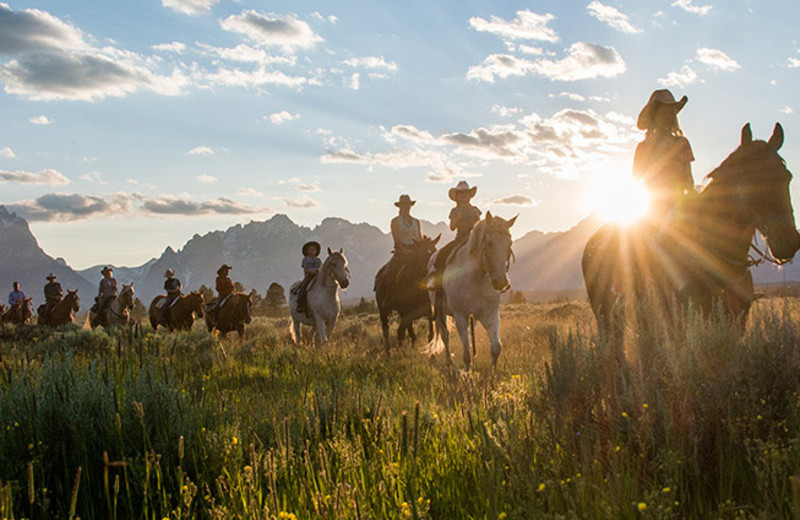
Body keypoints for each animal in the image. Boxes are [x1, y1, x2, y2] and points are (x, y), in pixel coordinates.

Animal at [428, 212, 516, 370]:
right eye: (489, 243)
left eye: (509, 244)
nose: (501, 282)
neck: (476, 278)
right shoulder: (460, 316)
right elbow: (466, 353)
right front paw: (467, 373)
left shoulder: (490, 314)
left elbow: (496, 348)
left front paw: (492, 374)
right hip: (439, 311)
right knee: (445, 335)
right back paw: (449, 363)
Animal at [580, 121, 800, 342]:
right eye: (750, 177)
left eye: (787, 177)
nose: (789, 242)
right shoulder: (682, 320)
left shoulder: (737, 319)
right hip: (606, 316)